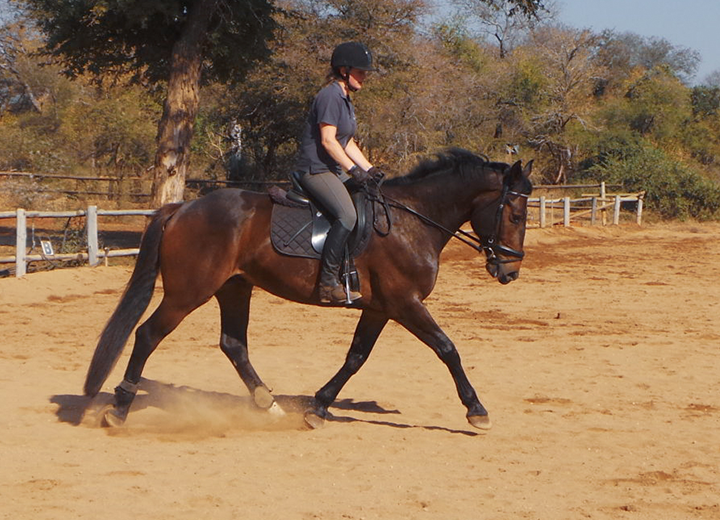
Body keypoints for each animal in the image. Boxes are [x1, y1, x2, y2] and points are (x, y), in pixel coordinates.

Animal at [84, 149, 533, 430]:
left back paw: (268, 404)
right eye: (514, 213)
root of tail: (182, 208)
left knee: (233, 344)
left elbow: (356, 358)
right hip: (187, 293)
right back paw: (119, 409)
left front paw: (318, 406)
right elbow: (447, 349)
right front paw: (477, 410)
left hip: (234, 288)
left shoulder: (380, 308)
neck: (413, 221)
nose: (509, 270)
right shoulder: (405, 303)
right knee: (147, 334)